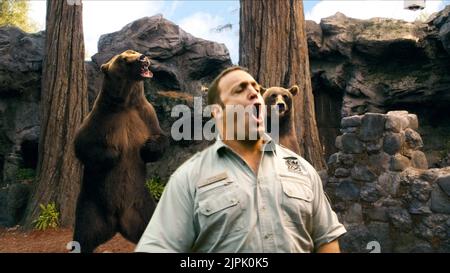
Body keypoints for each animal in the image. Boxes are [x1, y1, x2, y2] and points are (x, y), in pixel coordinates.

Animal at [73, 49, 168, 251]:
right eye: (124, 59)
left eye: (136, 52)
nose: (143, 58)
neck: (126, 103)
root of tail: (118, 223)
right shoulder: (101, 118)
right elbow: (82, 145)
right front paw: (114, 154)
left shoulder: (146, 115)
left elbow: (160, 137)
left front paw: (148, 147)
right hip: (91, 205)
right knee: (82, 238)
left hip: (144, 206)